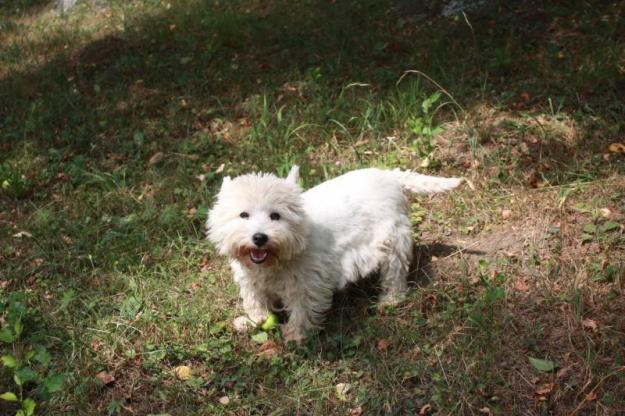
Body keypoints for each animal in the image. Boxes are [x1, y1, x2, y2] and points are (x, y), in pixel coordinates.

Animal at [207, 167, 460, 342]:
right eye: (243, 214)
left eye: (276, 216)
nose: (259, 238)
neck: (274, 261)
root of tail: (389, 176)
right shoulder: (251, 280)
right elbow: (254, 300)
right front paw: (252, 320)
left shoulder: (306, 282)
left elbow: (301, 309)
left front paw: (295, 335)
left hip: (392, 239)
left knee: (395, 272)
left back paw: (389, 300)